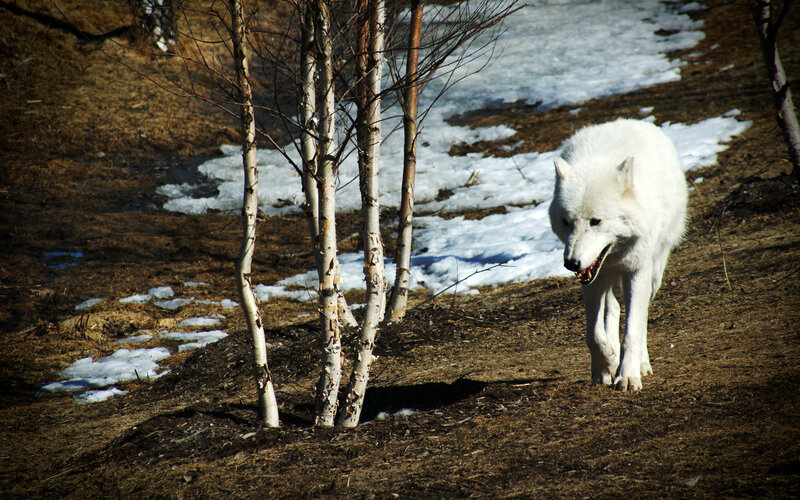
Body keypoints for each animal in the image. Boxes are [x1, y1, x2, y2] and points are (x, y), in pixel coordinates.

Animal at [548, 119, 688, 391]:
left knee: (641, 317)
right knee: (612, 308)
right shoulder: (590, 277)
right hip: (605, 278)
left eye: (595, 221)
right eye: (567, 222)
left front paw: (627, 375)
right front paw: (605, 366)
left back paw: (642, 364)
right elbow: (593, 335)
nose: (571, 263)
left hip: (653, 274)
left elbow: (632, 331)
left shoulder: (636, 271)